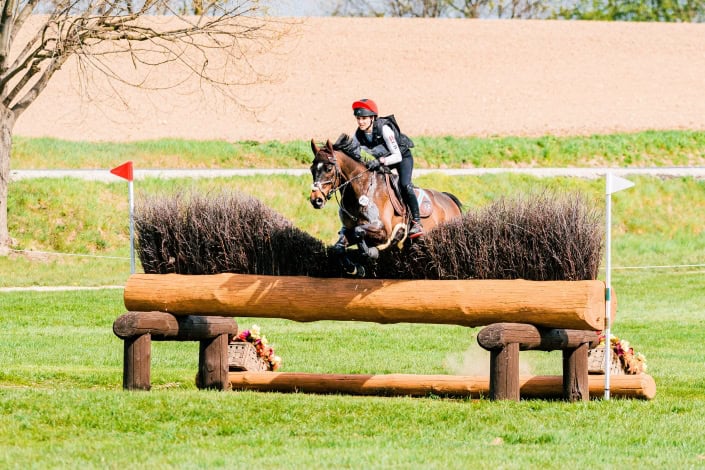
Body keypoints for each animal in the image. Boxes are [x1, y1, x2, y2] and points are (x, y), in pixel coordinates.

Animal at [309, 139, 463, 277]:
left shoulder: (384, 231)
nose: (316, 200)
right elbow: (339, 246)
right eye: (311, 169)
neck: (361, 191)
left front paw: (371, 252)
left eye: (329, 168)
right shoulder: (349, 230)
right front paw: (355, 268)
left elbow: (358, 231)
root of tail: (448, 199)